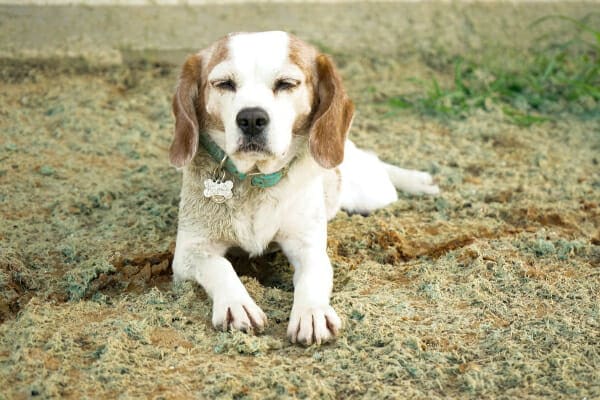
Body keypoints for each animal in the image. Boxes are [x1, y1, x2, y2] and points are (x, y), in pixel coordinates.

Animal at [171, 31, 438, 346]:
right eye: (224, 83)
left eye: (286, 83)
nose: (251, 119)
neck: (255, 179)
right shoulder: (189, 252)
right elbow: (220, 267)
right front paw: (236, 303)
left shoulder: (308, 246)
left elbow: (312, 279)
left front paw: (312, 313)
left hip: (371, 192)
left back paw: (418, 181)